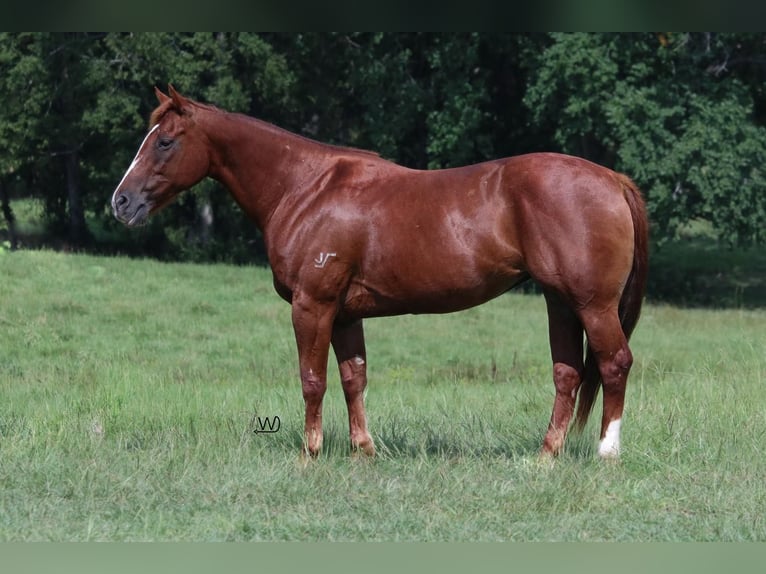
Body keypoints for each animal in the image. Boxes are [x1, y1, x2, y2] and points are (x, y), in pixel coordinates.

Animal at [112, 85, 648, 462]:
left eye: (164, 142)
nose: (121, 202)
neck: (305, 187)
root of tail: (612, 178)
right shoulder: (347, 314)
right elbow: (354, 378)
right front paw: (363, 450)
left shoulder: (313, 305)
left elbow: (313, 379)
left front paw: (310, 453)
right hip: (561, 303)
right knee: (568, 373)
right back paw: (545, 455)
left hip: (592, 305)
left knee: (614, 364)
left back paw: (607, 453)